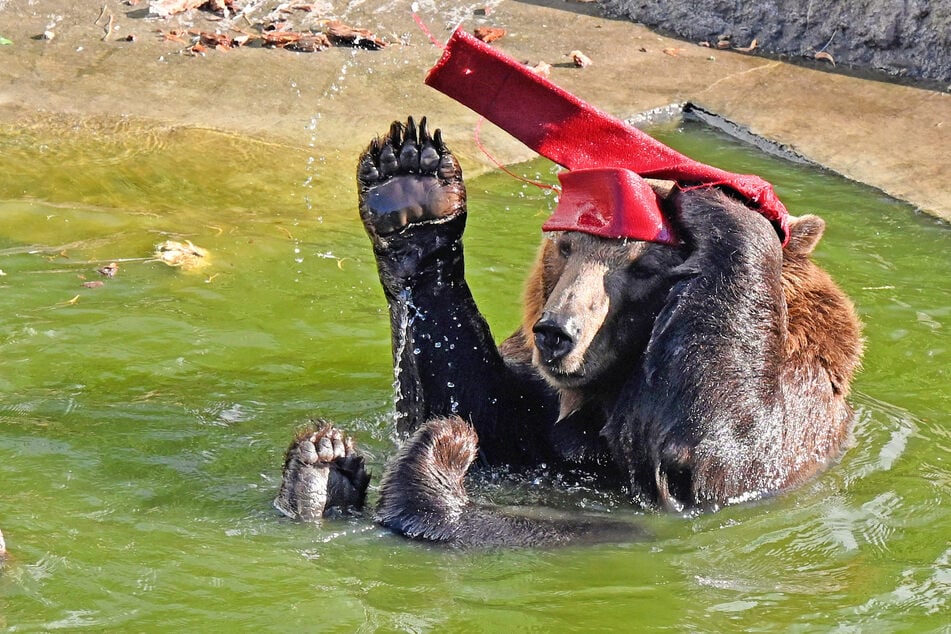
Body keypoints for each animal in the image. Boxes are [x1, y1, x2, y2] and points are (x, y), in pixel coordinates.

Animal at [276, 117, 864, 544]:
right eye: (565, 245)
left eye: (646, 266)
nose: (556, 333)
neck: (608, 389)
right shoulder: (542, 409)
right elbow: (481, 408)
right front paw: (412, 189)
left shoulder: (796, 404)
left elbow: (717, 453)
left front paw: (716, 193)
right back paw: (324, 467)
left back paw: (419, 477)